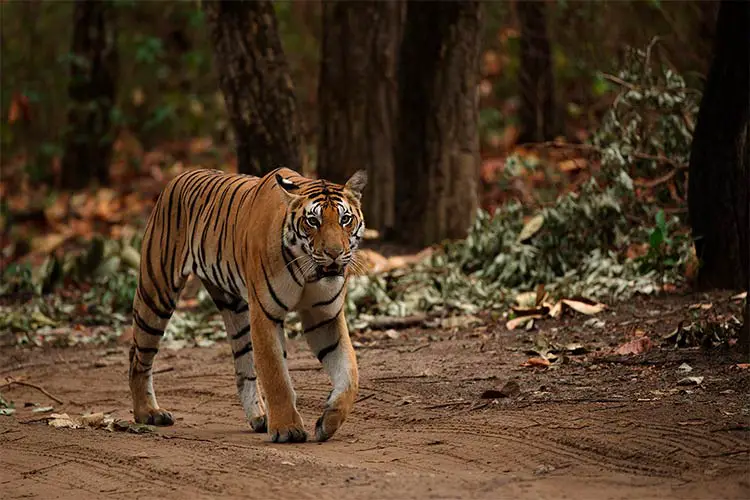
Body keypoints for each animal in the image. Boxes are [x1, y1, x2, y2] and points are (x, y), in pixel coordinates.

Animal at [130, 167, 370, 442]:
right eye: (312, 221)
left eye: (345, 219)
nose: (334, 253)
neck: (309, 271)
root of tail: (178, 177)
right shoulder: (265, 313)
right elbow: (276, 375)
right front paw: (287, 429)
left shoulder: (324, 317)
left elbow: (350, 374)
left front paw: (328, 421)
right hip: (157, 294)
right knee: (138, 356)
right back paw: (148, 413)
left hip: (235, 309)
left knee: (243, 369)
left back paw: (259, 417)